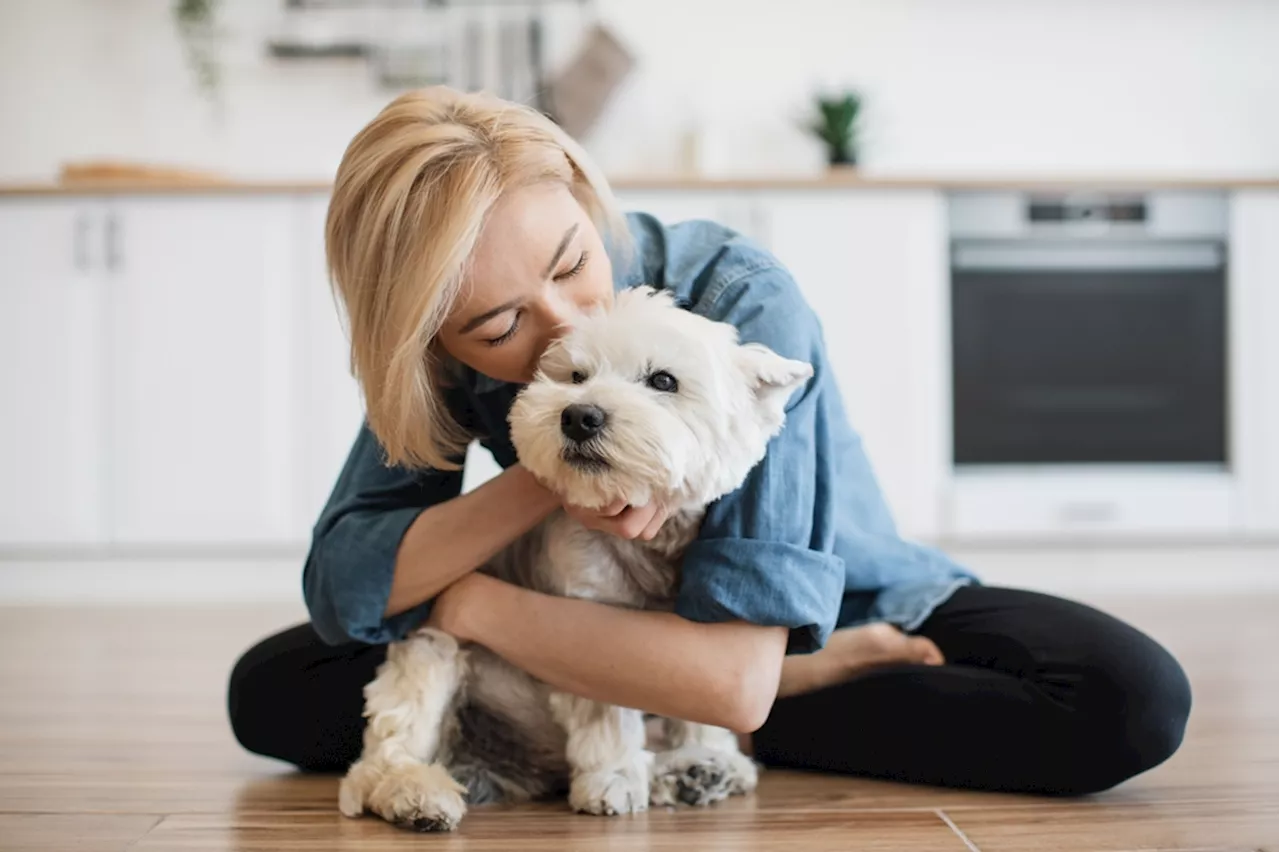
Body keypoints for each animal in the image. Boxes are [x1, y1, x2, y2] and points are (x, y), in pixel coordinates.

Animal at [337, 285, 808, 828]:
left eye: (663, 380)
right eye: (577, 376)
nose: (579, 416)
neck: (649, 548)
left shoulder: (697, 632)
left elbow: (703, 706)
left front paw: (705, 754)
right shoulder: (591, 621)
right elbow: (607, 714)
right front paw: (612, 780)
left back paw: (694, 772)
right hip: (432, 655)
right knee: (383, 755)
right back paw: (416, 795)